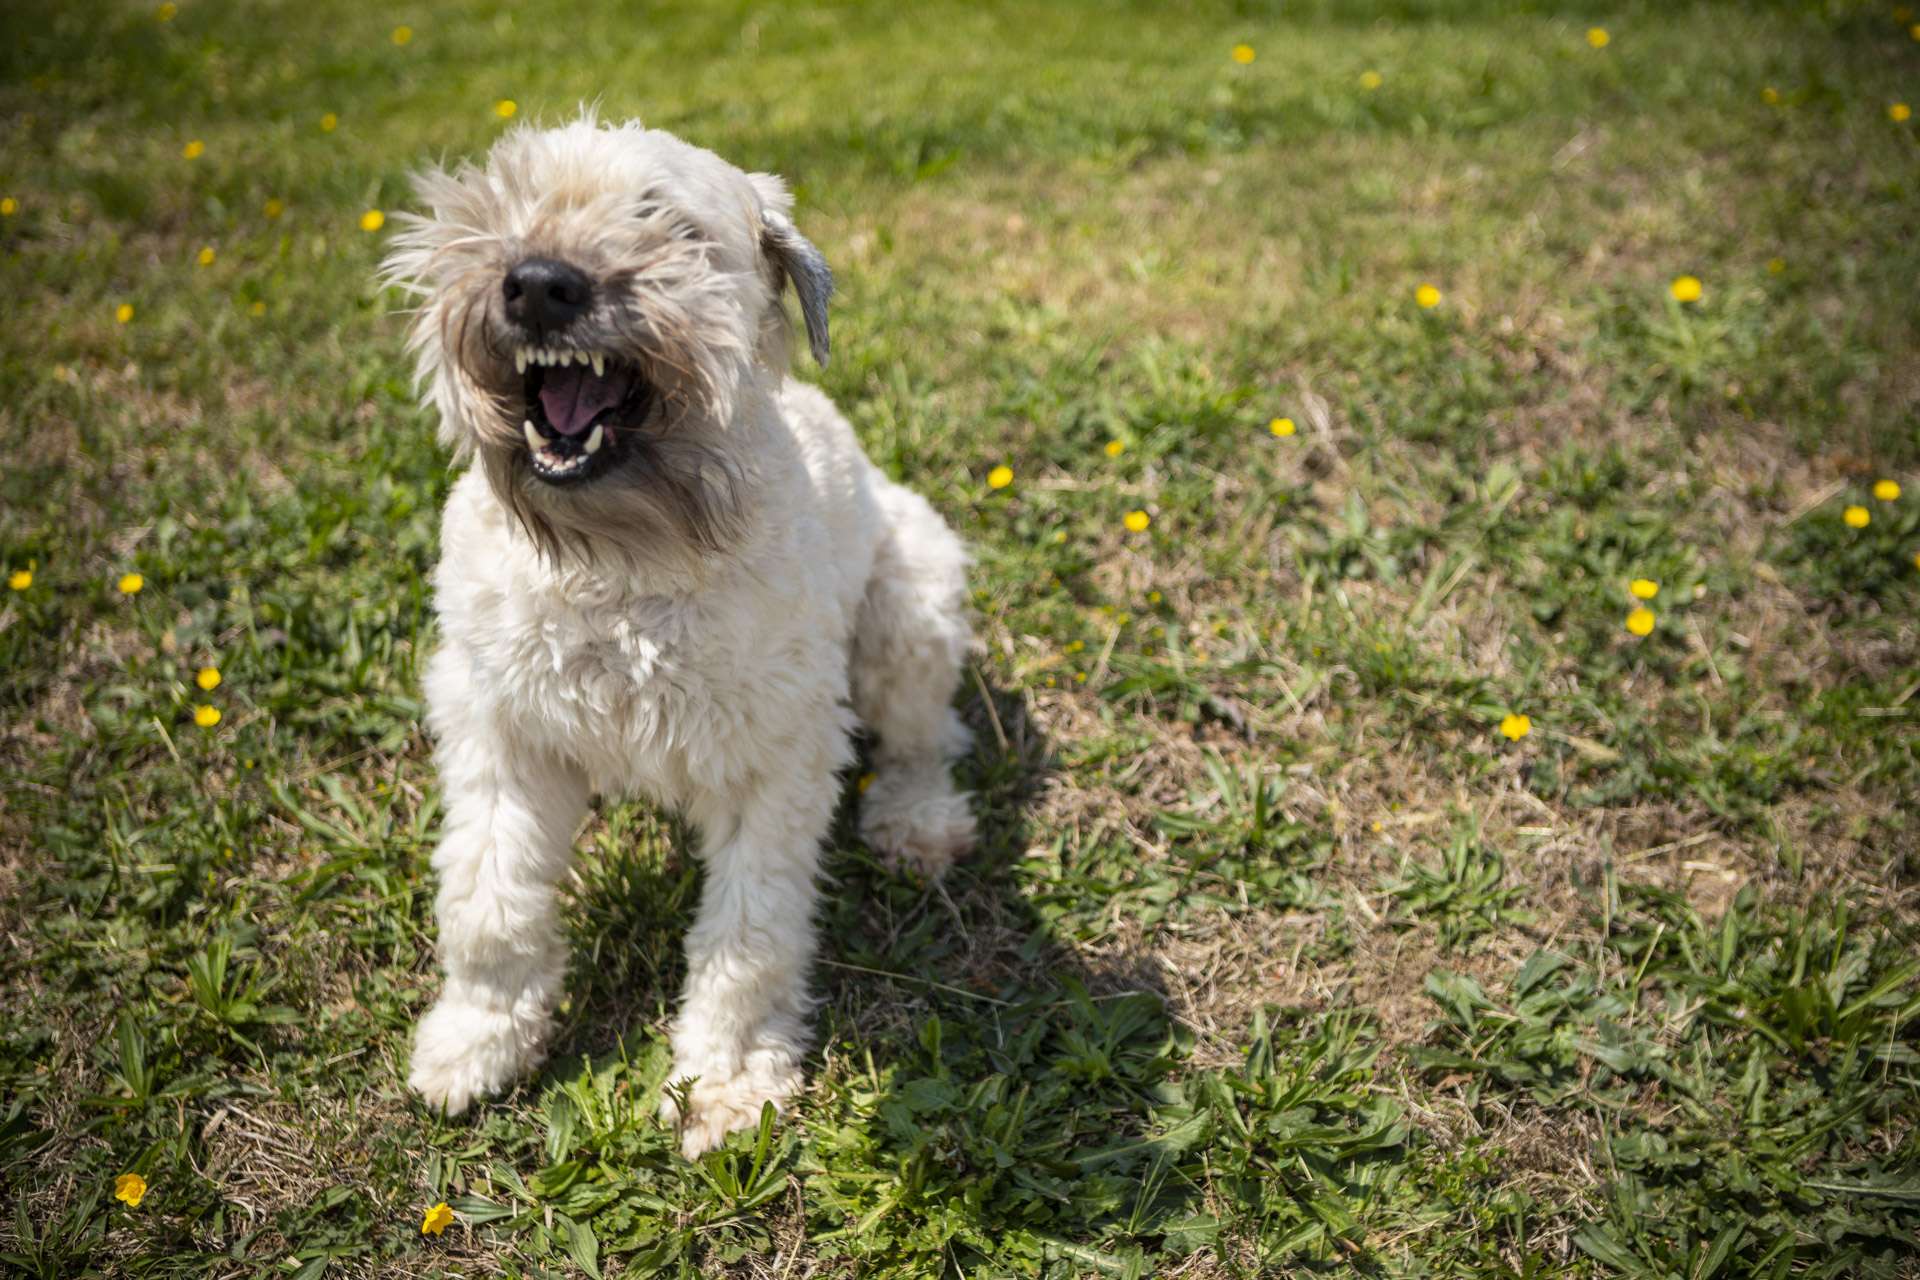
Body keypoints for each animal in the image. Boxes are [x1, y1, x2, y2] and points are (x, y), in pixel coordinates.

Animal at [378, 115, 975, 1159]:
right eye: (512, 195)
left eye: (671, 226)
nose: (539, 284)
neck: (626, 557)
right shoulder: (501, 726)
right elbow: (490, 900)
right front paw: (476, 1041)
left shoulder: (774, 759)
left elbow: (749, 934)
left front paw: (724, 1085)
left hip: (912, 609)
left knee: (924, 738)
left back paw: (917, 823)